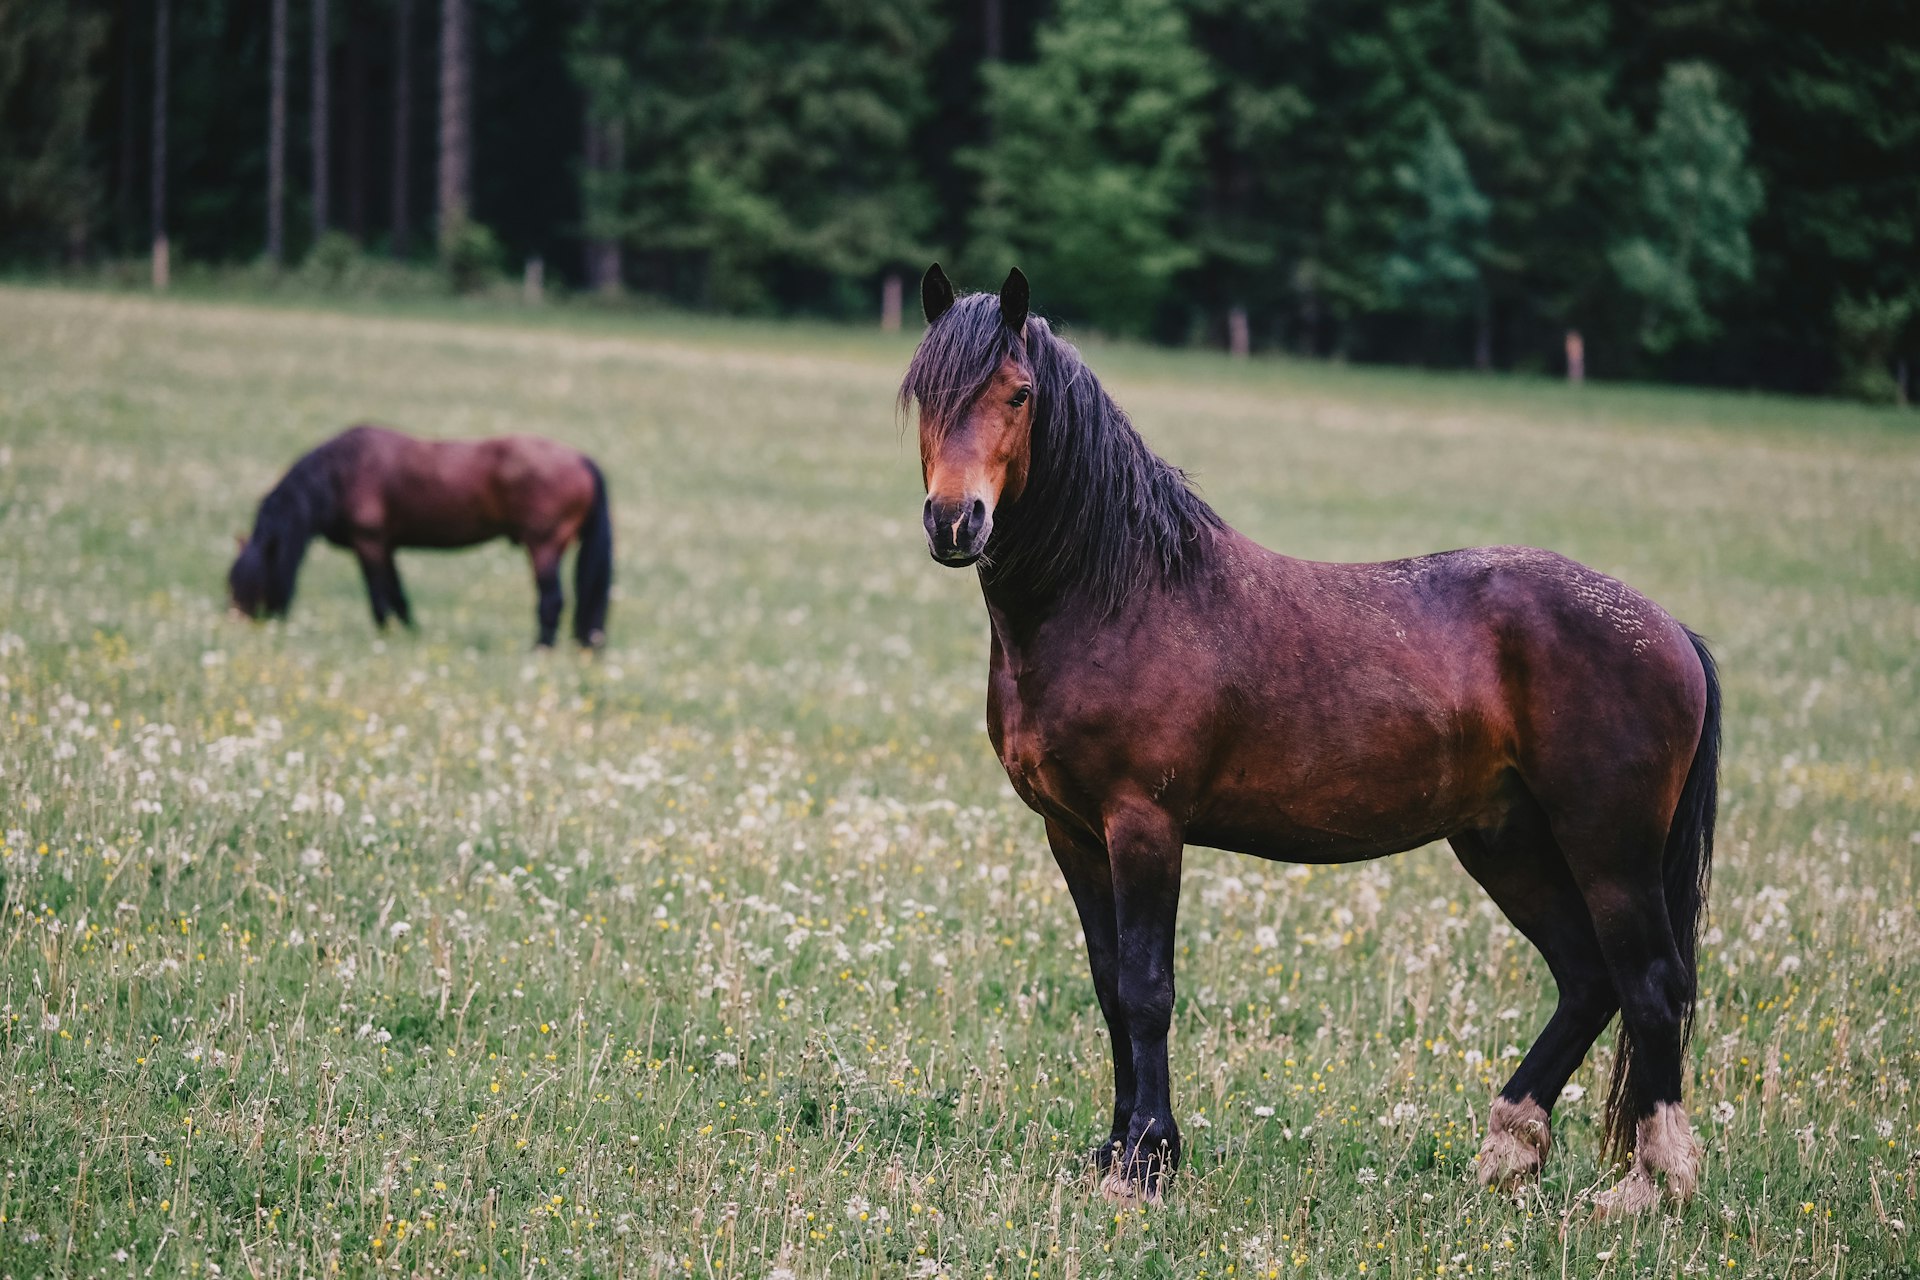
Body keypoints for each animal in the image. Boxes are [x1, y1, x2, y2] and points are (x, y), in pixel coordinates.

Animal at [229, 424, 612, 648]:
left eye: (244, 582)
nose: (239, 624)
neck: (341, 473)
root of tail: (581, 459)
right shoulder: (386, 546)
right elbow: (398, 596)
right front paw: (412, 635)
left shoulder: (368, 544)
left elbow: (379, 599)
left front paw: (385, 638)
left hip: (543, 545)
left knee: (552, 601)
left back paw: (539, 649)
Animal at [901, 265, 1720, 1215]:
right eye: (925, 394)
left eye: (1019, 394)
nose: (955, 522)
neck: (1118, 597)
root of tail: (1669, 630)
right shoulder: (1070, 831)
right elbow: (1108, 988)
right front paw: (1114, 1152)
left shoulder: (1144, 826)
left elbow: (1146, 991)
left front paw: (1146, 1163)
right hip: (1506, 842)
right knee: (1588, 978)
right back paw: (1508, 1153)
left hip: (1607, 846)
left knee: (1650, 984)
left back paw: (1653, 1187)